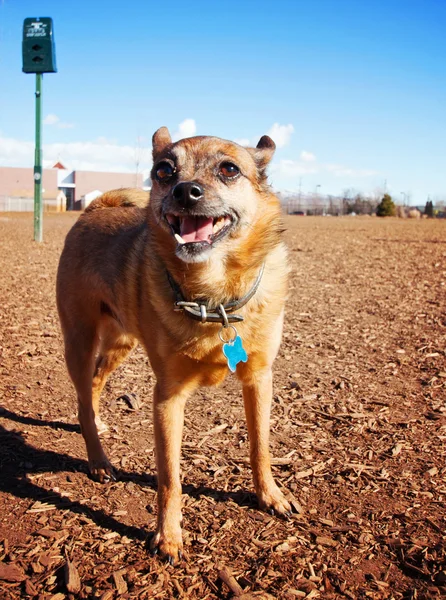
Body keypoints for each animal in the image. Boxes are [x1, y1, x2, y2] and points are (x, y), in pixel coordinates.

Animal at [55, 126, 290, 564]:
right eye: (163, 171)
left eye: (229, 169)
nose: (185, 191)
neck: (214, 299)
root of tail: (95, 209)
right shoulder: (167, 398)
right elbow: (169, 476)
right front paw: (168, 535)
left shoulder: (259, 380)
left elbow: (260, 446)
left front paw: (269, 496)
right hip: (78, 340)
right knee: (80, 396)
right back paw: (98, 459)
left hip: (120, 343)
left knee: (94, 383)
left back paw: (98, 422)